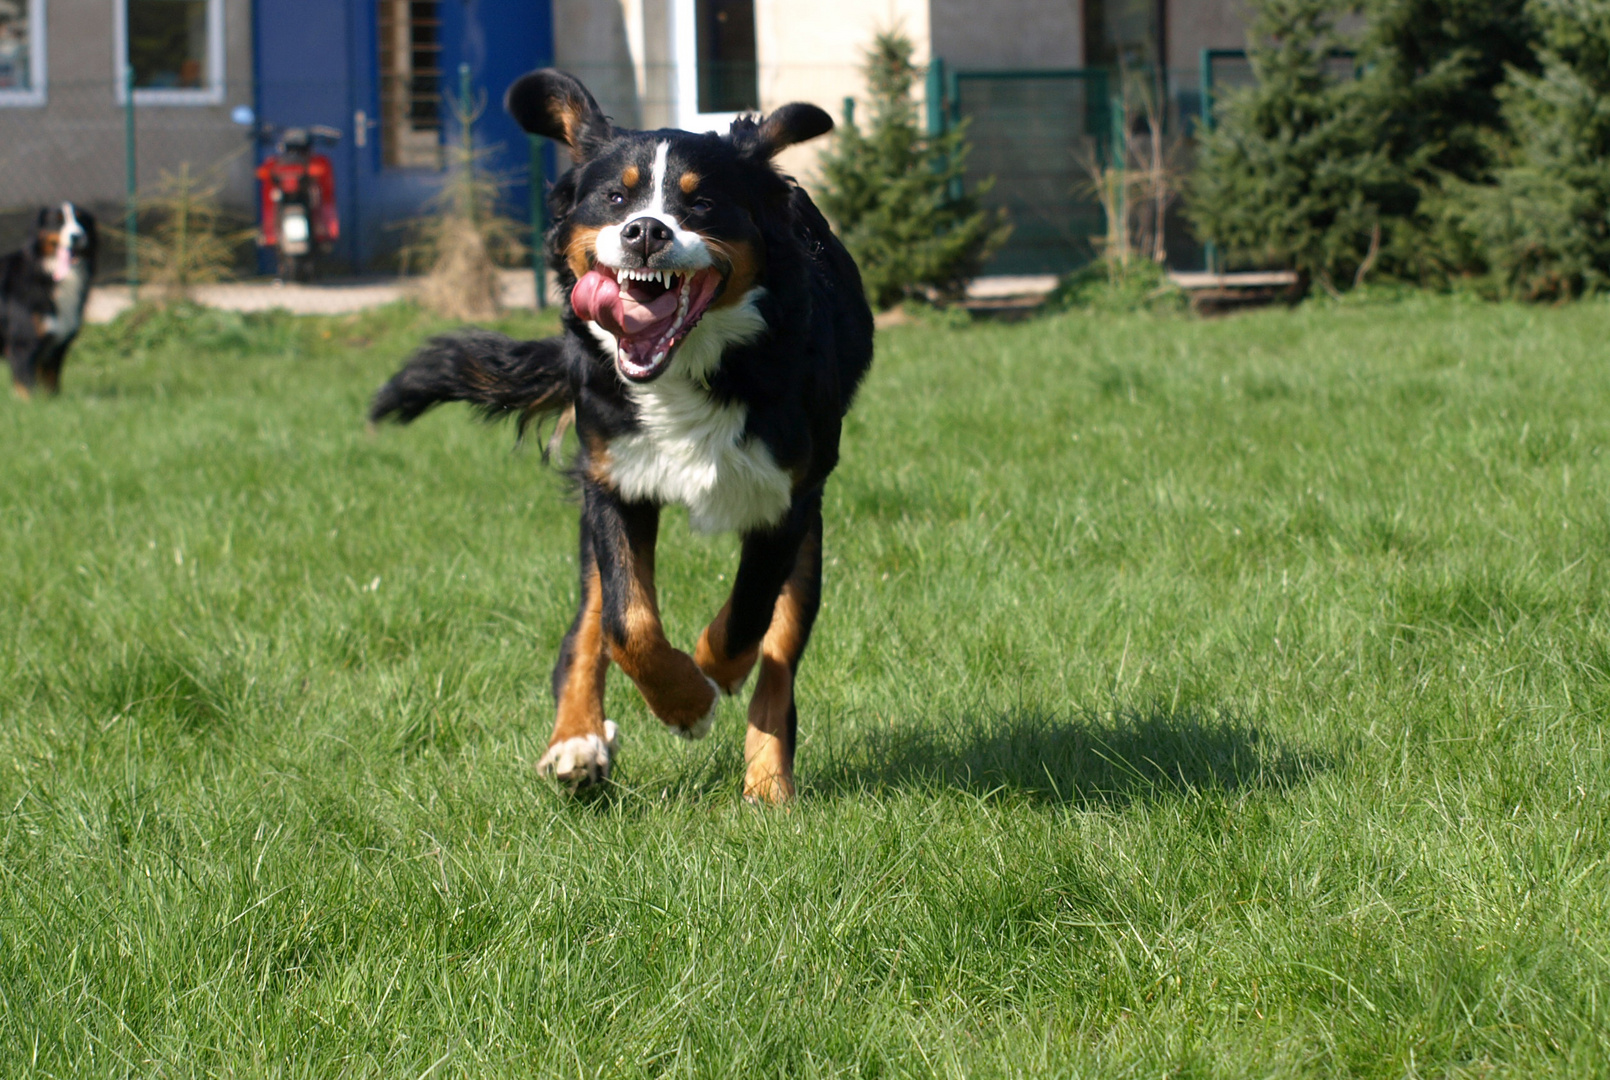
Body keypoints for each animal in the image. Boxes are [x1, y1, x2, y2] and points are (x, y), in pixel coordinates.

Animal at [1, 200, 98, 399]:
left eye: (82, 220)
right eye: (58, 221)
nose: (77, 236)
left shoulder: (55, 345)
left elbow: (51, 384)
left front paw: (50, 403)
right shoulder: (23, 343)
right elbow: (26, 386)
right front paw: (29, 404)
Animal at [370, 69, 875, 801]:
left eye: (703, 203)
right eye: (615, 196)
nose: (644, 231)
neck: (690, 371)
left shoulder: (786, 498)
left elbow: (748, 617)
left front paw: (709, 676)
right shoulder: (614, 482)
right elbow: (624, 624)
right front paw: (683, 702)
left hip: (810, 524)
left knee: (780, 653)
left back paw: (766, 782)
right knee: (589, 626)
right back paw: (577, 744)